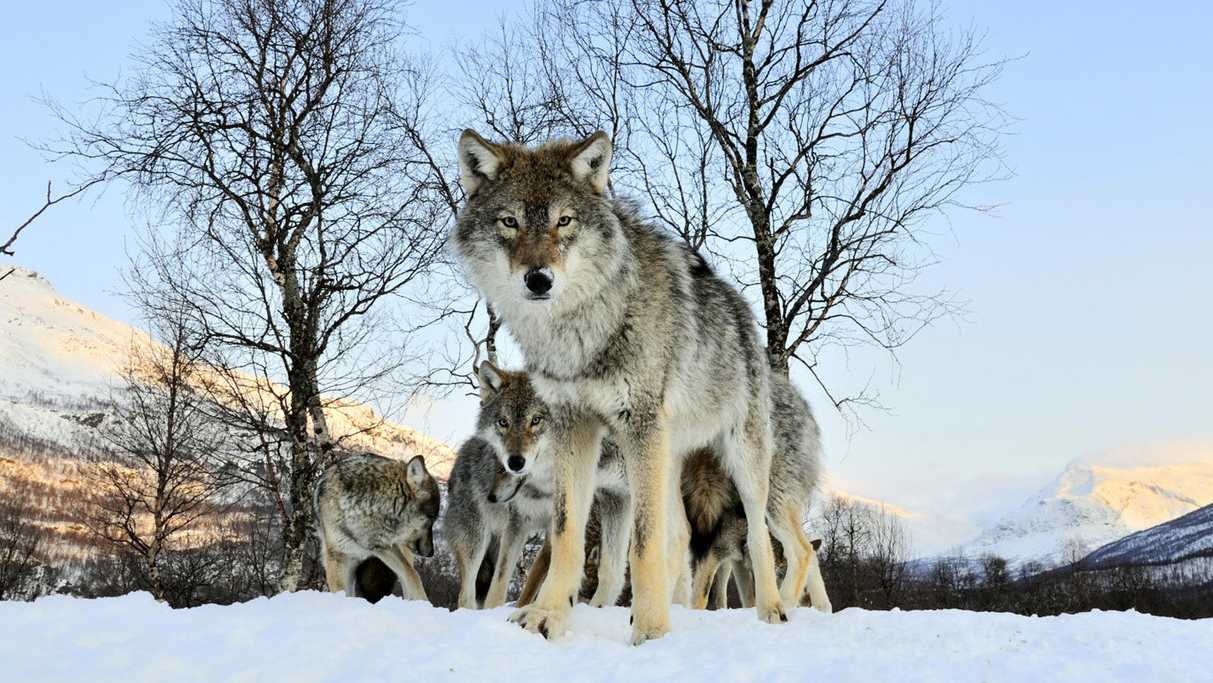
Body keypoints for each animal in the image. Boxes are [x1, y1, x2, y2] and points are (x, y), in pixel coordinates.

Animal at [446, 366, 635, 611]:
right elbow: (501, 584)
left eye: (536, 420)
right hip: (476, 540)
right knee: (466, 593)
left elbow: (532, 585)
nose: (491, 496)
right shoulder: (518, 524)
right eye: (503, 422)